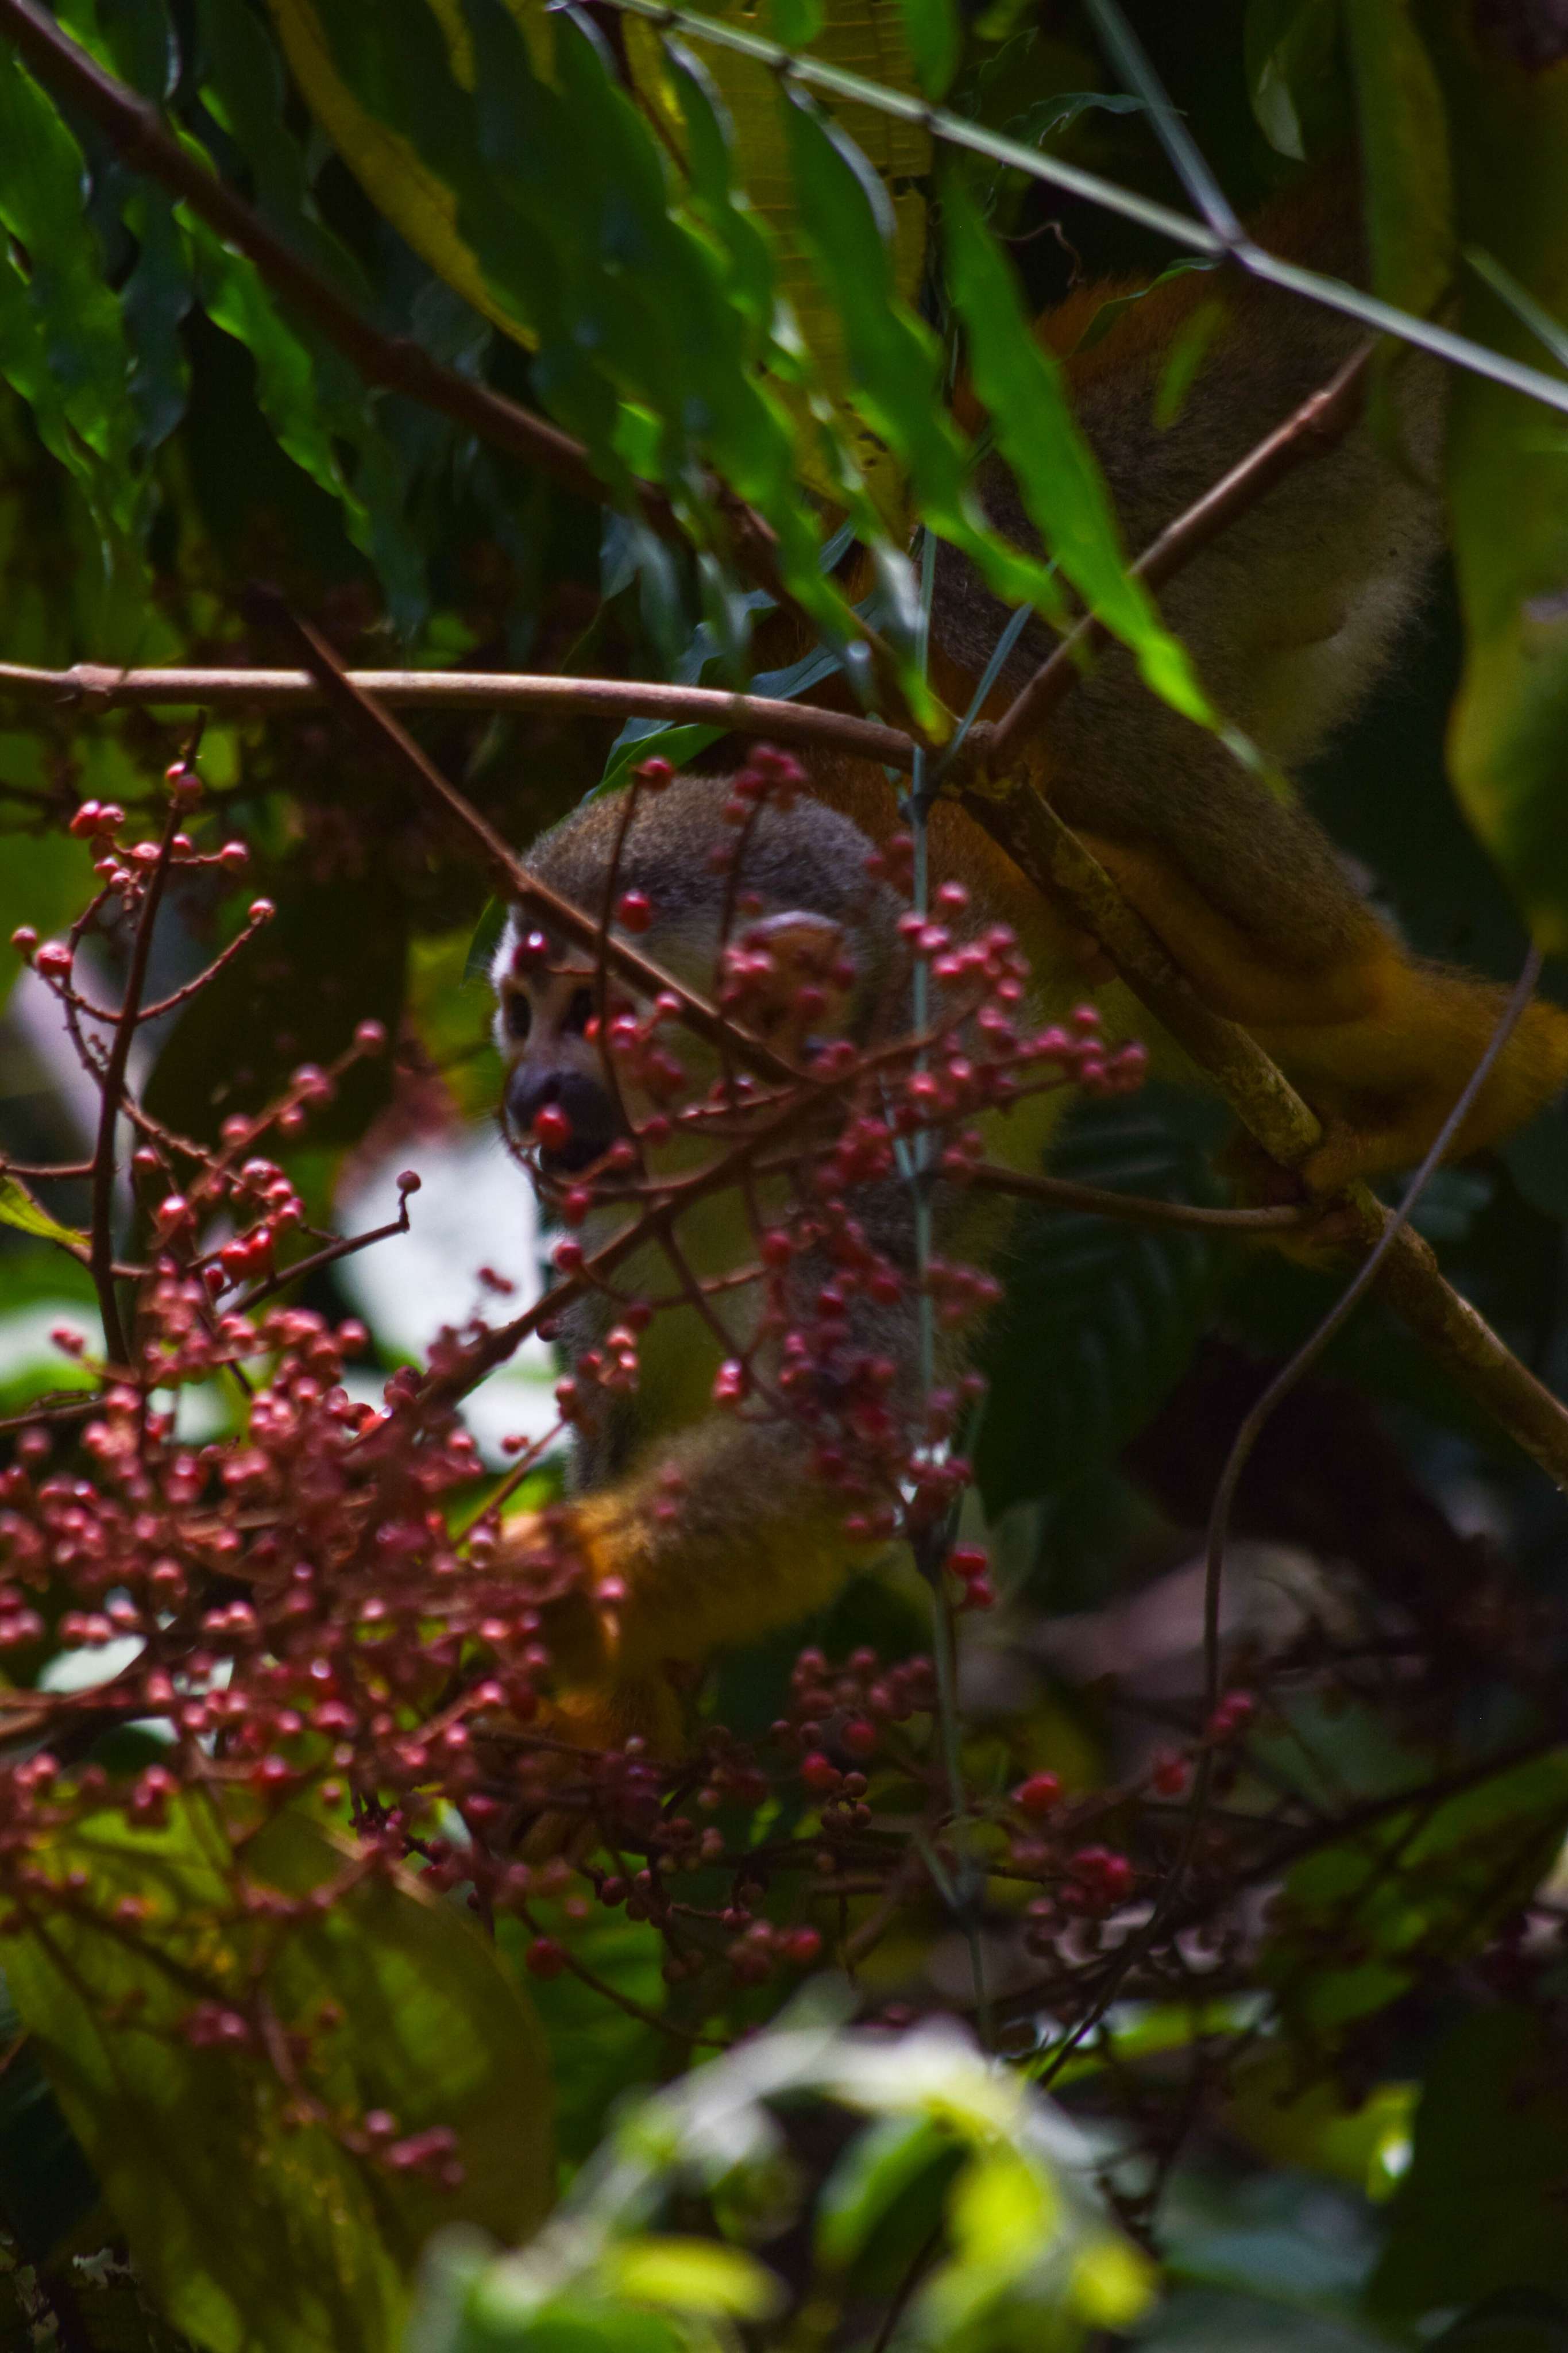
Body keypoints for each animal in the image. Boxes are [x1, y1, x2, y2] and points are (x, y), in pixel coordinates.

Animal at [485, 177, 1568, 1766]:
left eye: (602, 1014)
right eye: (520, 1012)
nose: (531, 1102)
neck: (755, 1137)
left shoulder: (885, 1128)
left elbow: (835, 1443)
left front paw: (542, 1585)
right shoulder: (621, 1211)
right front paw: (608, 1704)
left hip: (1082, 600)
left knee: (1235, 901)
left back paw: (1431, 1026)